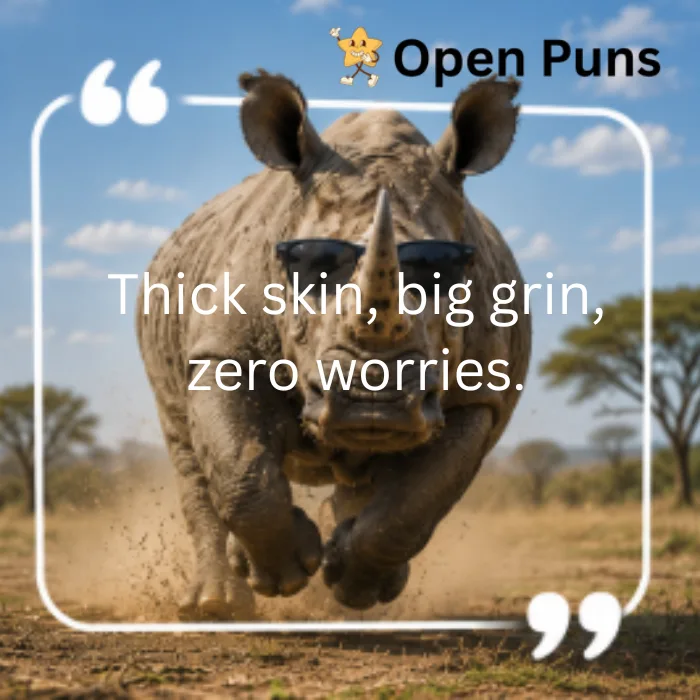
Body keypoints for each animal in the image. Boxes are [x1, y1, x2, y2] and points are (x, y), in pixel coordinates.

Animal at [137, 70, 531, 619]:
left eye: (443, 272)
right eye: (309, 269)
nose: (374, 405)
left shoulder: (479, 393)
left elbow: (416, 503)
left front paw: (352, 584)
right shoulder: (222, 352)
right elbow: (240, 469)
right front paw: (281, 576)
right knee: (184, 441)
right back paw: (214, 607)